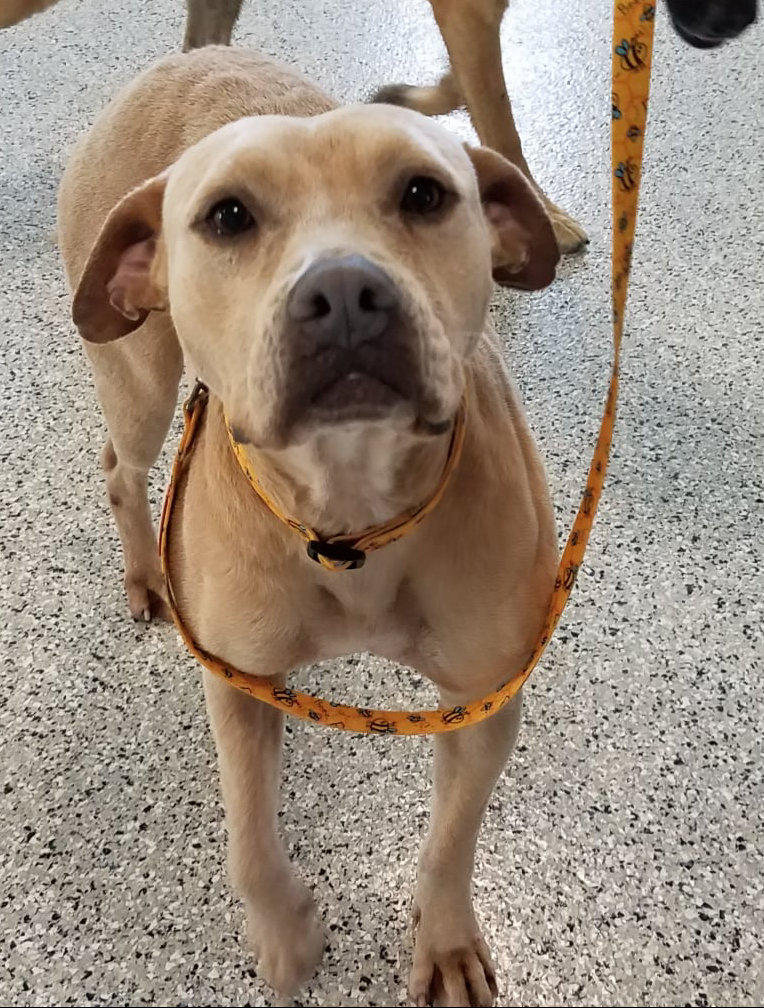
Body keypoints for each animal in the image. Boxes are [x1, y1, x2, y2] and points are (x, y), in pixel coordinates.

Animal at [5, 0, 757, 256]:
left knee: (198, 52)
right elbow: (502, 119)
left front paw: (409, 99)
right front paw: (541, 215)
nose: (733, 24)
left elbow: (469, 83)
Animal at [58, 45, 560, 1005]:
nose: (344, 292)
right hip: (137, 380)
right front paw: (286, 932)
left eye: (423, 194)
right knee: (118, 469)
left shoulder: (484, 702)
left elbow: (451, 843)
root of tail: (181, 61)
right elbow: (250, 838)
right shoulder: (236, 682)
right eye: (227, 216)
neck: (348, 513)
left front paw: (444, 941)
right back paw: (144, 572)